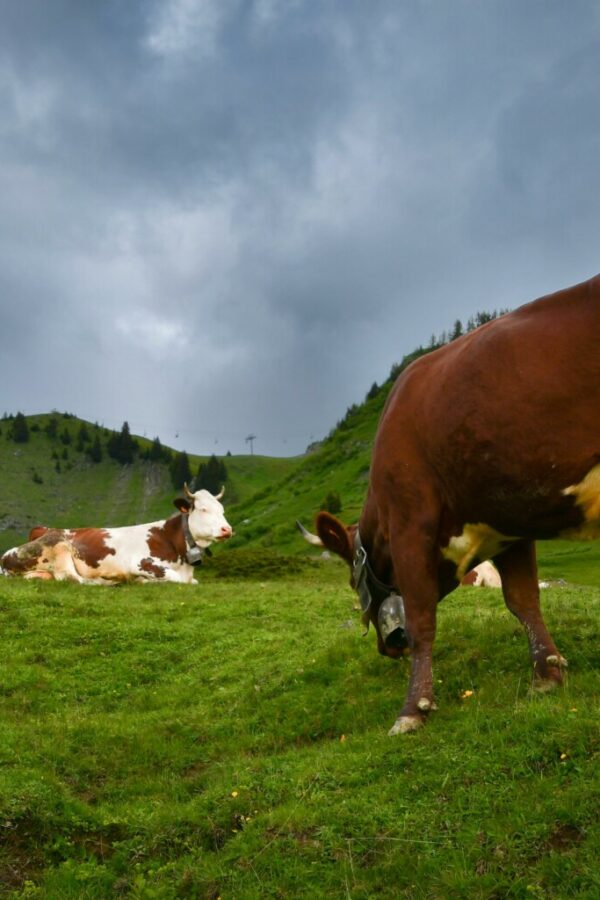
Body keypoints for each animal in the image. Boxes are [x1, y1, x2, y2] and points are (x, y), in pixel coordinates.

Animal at [1, 485, 232, 584]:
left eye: (222, 510)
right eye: (203, 509)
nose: (227, 529)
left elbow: (193, 582)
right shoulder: (142, 563)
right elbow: (177, 580)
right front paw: (142, 581)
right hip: (59, 547)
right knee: (72, 578)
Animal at [299, 273, 600, 734]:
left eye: (352, 581)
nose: (387, 648)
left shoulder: (410, 521)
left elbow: (422, 617)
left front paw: (413, 709)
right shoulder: (507, 523)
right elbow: (523, 600)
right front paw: (547, 673)